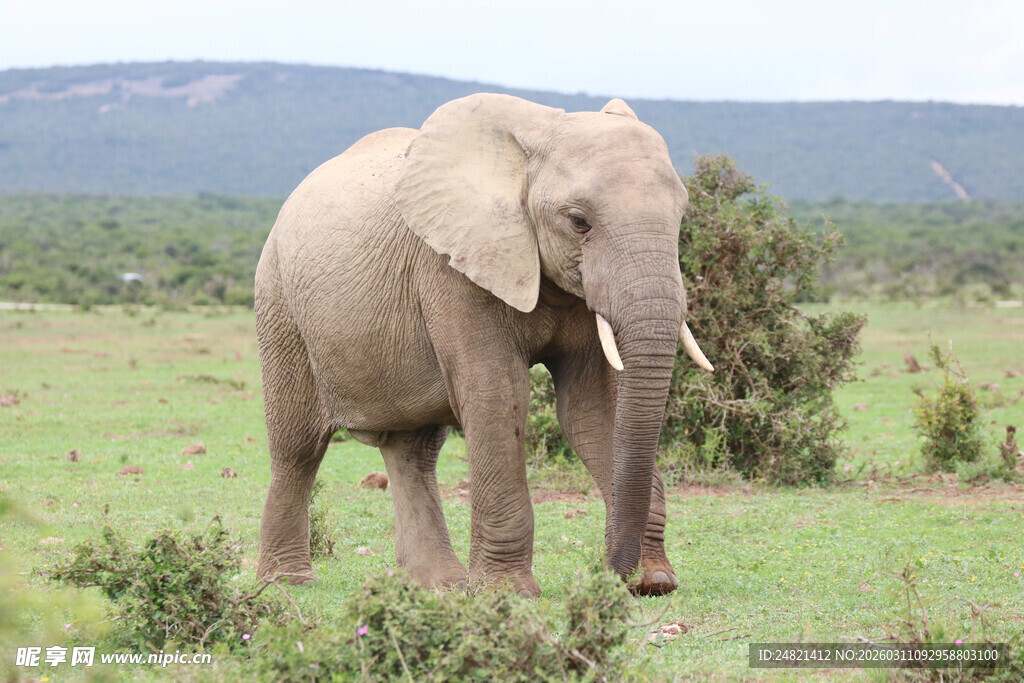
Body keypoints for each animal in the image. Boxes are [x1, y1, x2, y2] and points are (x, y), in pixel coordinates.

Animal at [254, 93, 713, 597]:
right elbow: (498, 396)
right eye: (579, 222)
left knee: (413, 450)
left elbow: (590, 409)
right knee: (298, 446)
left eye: (682, 217)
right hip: (278, 303)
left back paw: (439, 584)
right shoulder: (451, 268)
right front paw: (507, 594)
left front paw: (654, 580)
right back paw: (286, 581)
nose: (610, 572)